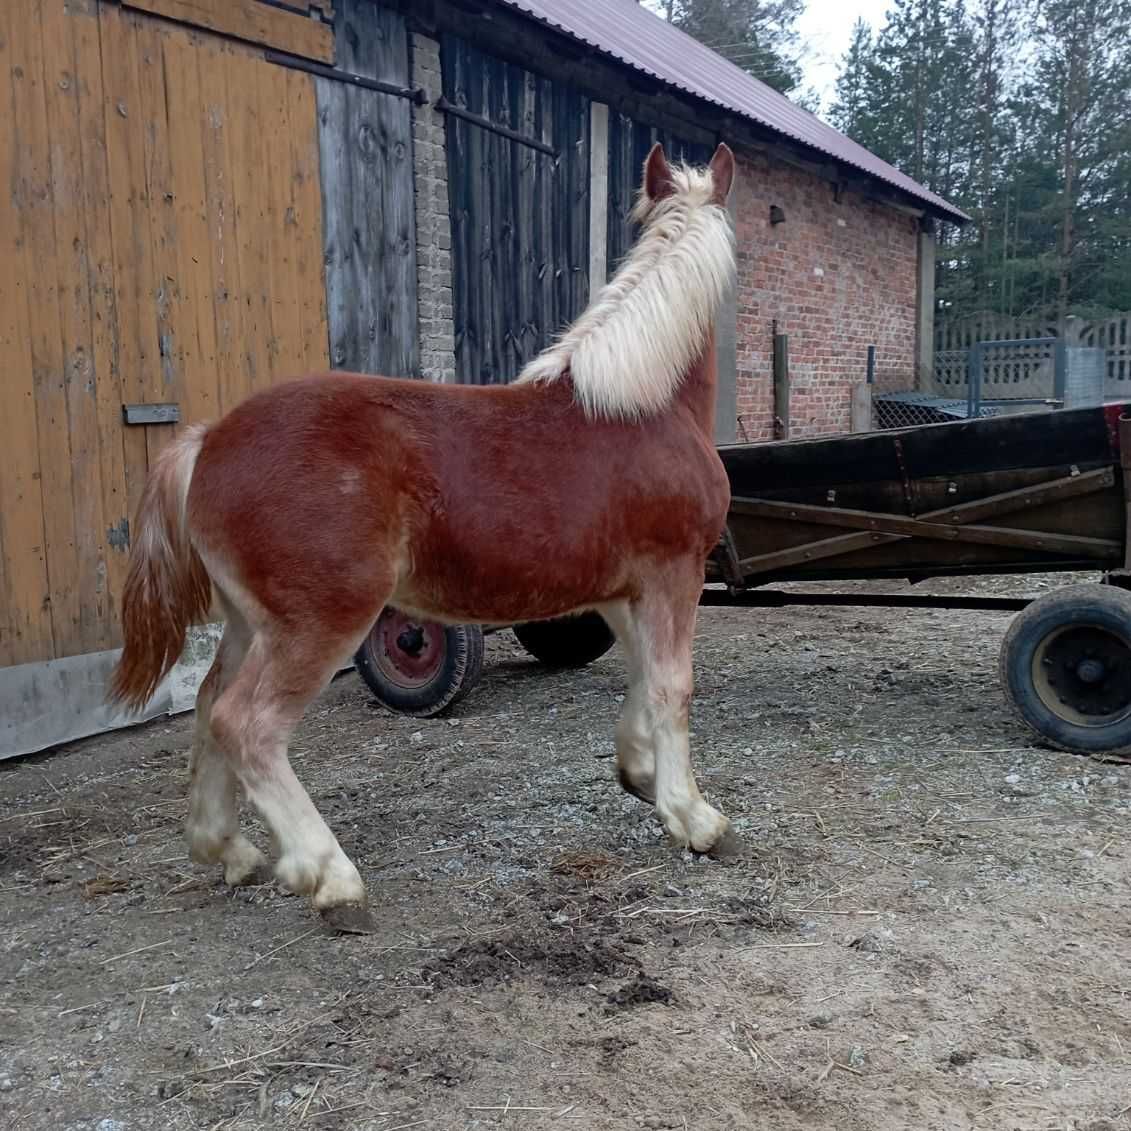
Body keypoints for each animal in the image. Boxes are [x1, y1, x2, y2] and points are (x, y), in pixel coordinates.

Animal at [110, 141, 737, 927]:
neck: (642, 404)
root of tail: (207, 442)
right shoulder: (674, 572)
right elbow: (672, 685)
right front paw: (695, 818)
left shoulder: (624, 590)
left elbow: (642, 676)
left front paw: (640, 772)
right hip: (322, 620)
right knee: (244, 721)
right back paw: (328, 875)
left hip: (249, 624)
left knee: (206, 706)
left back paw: (226, 847)